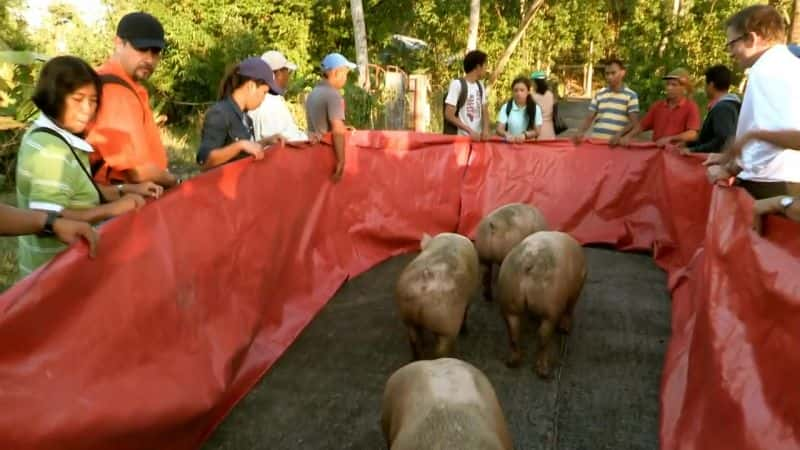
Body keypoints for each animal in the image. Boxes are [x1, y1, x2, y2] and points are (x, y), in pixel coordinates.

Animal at [496, 230, 584, 378]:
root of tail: (529, 262)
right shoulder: (575, 290)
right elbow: (570, 308)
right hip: (550, 307)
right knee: (543, 336)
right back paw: (543, 371)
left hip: (509, 300)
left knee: (513, 332)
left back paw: (512, 362)